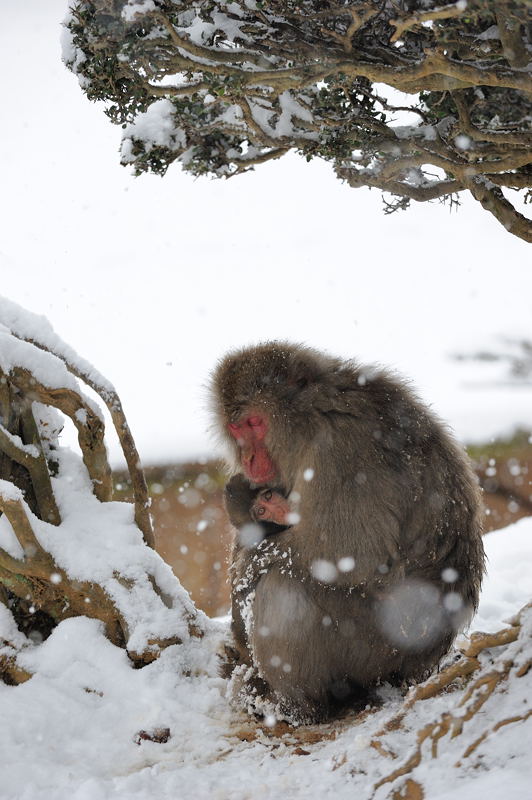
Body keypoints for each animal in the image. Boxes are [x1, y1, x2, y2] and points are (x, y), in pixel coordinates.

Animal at [211, 342, 485, 724]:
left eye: (255, 423)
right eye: (236, 429)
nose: (249, 459)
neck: (312, 418)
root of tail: (422, 663)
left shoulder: (342, 452)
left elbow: (352, 555)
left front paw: (245, 569)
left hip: (374, 643)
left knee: (285, 586)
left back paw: (291, 707)